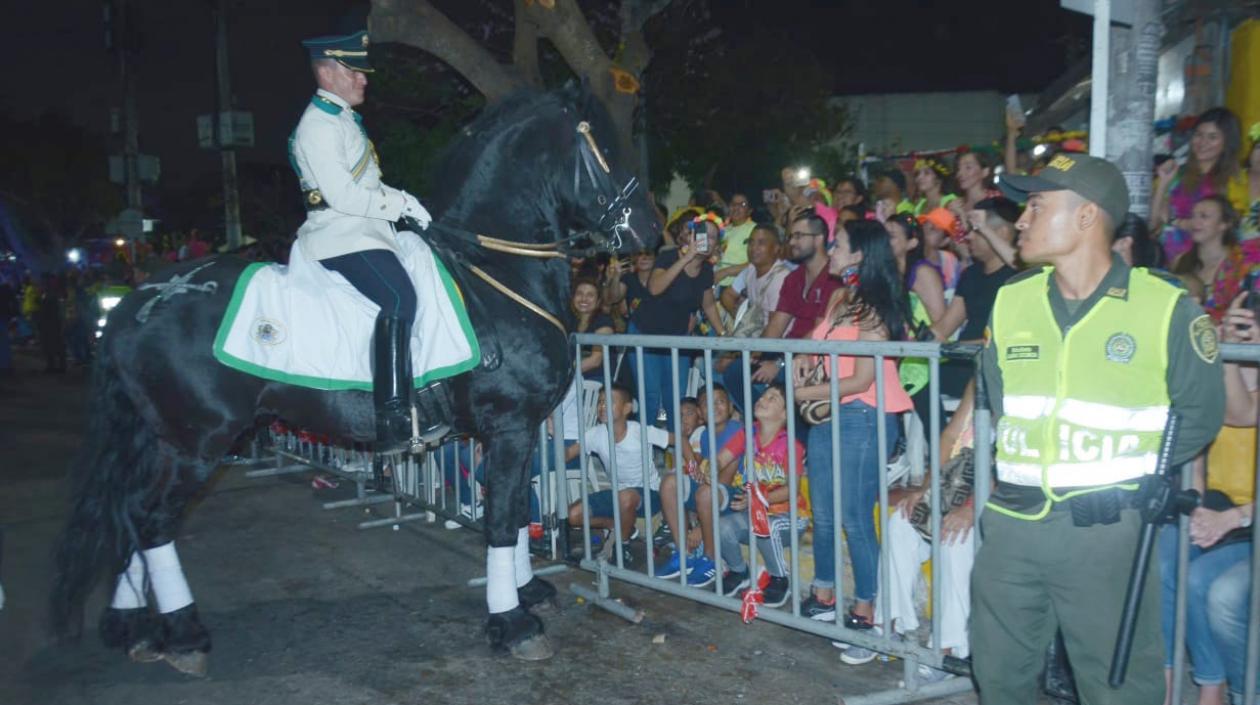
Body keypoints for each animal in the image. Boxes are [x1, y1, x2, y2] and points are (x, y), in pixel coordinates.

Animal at [49, 83, 660, 669]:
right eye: (605, 146)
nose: (650, 233)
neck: (493, 271)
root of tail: (140, 301)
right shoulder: (509, 426)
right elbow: (502, 517)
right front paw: (511, 623)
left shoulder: (520, 430)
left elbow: (511, 512)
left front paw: (526, 591)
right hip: (196, 444)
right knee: (151, 519)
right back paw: (183, 634)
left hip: (159, 438)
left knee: (127, 514)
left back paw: (131, 626)